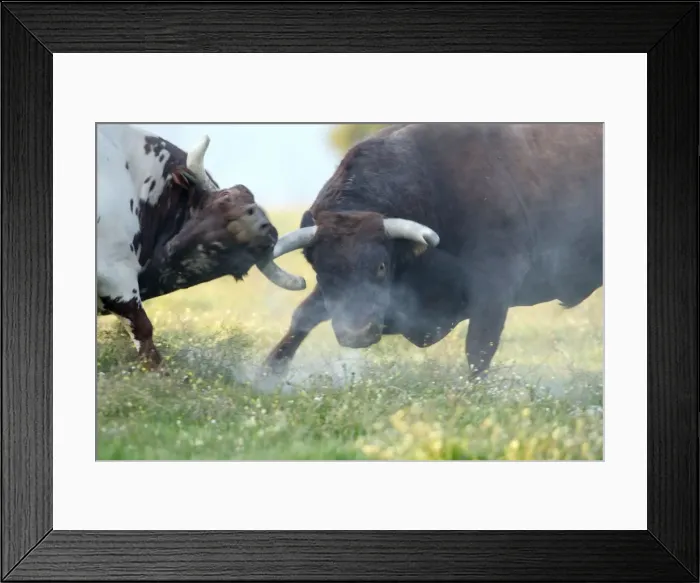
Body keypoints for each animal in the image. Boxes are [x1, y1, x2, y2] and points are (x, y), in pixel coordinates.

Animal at [261, 123, 603, 379]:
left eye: (380, 267)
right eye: (321, 269)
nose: (355, 333)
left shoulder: (495, 284)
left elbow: (479, 347)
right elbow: (302, 316)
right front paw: (266, 375)